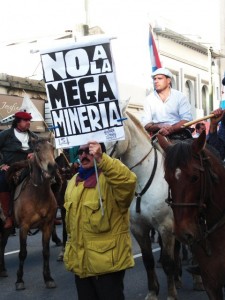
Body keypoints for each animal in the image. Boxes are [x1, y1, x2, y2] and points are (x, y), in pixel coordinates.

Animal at [7, 139, 60, 290]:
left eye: (52, 147)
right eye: (37, 149)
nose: (52, 167)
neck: (38, 194)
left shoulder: (47, 225)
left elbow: (46, 252)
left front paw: (48, 278)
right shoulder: (24, 227)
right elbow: (22, 253)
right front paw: (19, 280)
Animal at [105, 108, 181, 300]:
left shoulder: (165, 226)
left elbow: (168, 262)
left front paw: (171, 294)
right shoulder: (138, 228)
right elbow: (148, 261)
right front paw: (153, 291)